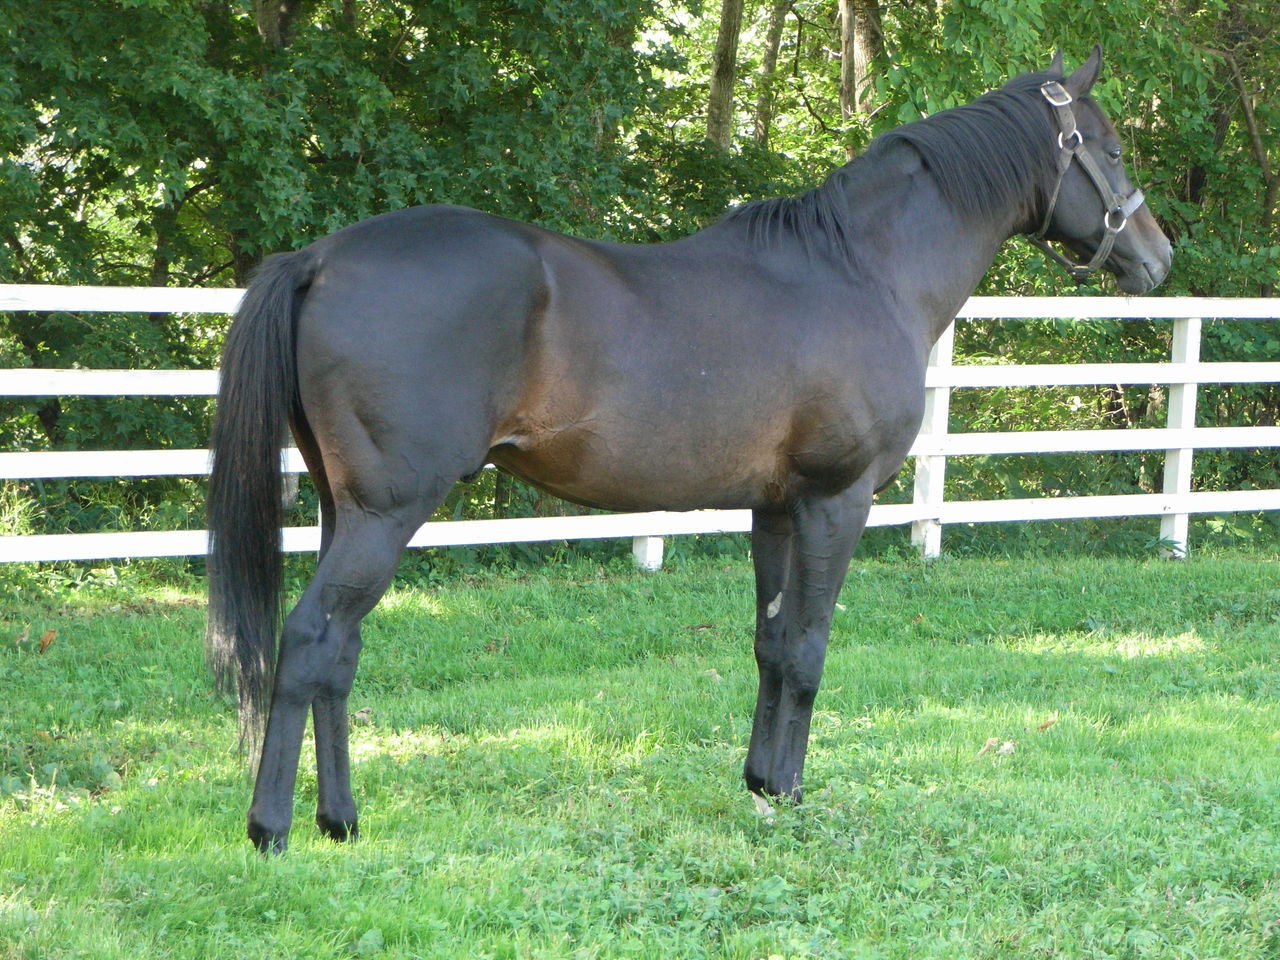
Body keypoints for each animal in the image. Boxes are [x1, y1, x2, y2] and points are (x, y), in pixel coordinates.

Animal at [207, 47, 1172, 853]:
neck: (863, 270)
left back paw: (341, 821)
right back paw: (273, 830)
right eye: (1110, 147)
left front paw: (760, 785)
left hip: (345, 511)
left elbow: (772, 643)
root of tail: (319, 258)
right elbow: (810, 647)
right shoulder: (838, 499)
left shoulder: (775, 508)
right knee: (311, 641)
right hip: (387, 512)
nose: (1159, 256)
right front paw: (792, 794)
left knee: (340, 653)